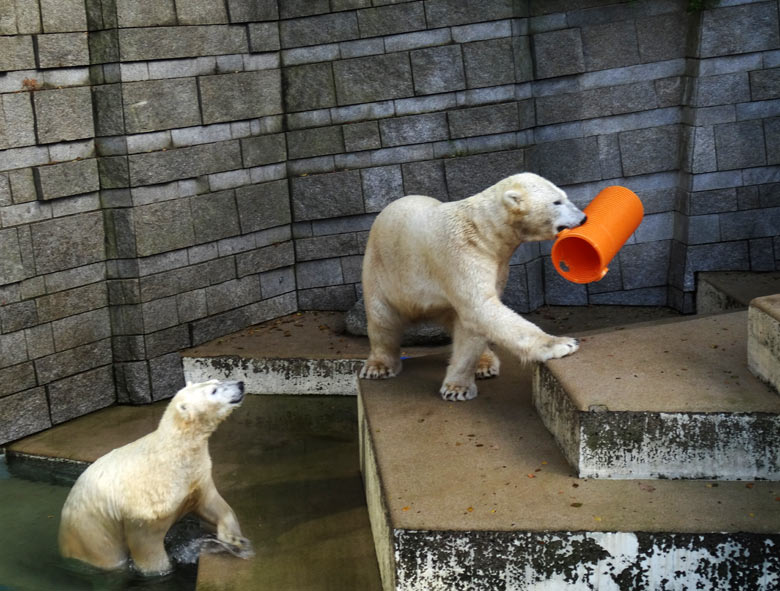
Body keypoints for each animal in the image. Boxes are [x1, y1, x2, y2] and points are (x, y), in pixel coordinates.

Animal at [58, 382, 253, 576]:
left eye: (216, 381)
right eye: (213, 391)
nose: (240, 384)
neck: (174, 453)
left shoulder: (196, 477)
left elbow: (212, 504)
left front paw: (235, 539)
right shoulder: (146, 507)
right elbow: (147, 547)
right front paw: (164, 569)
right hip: (90, 529)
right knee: (106, 554)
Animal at [360, 172, 584, 402]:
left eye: (565, 196)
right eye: (557, 201)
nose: (583, 218)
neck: (483, 231)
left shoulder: (496, 265)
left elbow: (473, 323)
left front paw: (457, 388)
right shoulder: (460, 254)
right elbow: (480, 308)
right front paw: (563, 344)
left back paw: (485, 364)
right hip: (381, 270)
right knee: (382, 318)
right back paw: (378, 366)